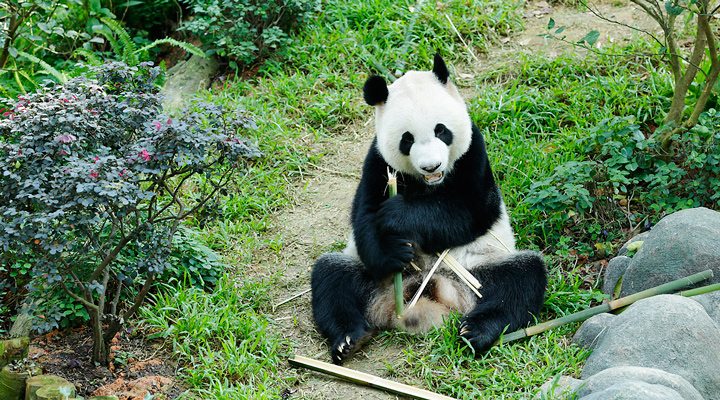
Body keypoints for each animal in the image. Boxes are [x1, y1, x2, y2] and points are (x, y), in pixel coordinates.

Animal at [310, 54, 544, 364]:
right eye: (407, 139)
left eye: (441, 130)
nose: (431, 166)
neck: (428, 185)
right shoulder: (377, 163)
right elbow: (365, 219)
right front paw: (393, 249)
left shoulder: (474, 156)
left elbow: (468, 213)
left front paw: (399, 214)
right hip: (370, 277)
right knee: (332, 278)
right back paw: (349, 339)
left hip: (479, 272)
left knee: (521, 281)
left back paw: (475, 332)